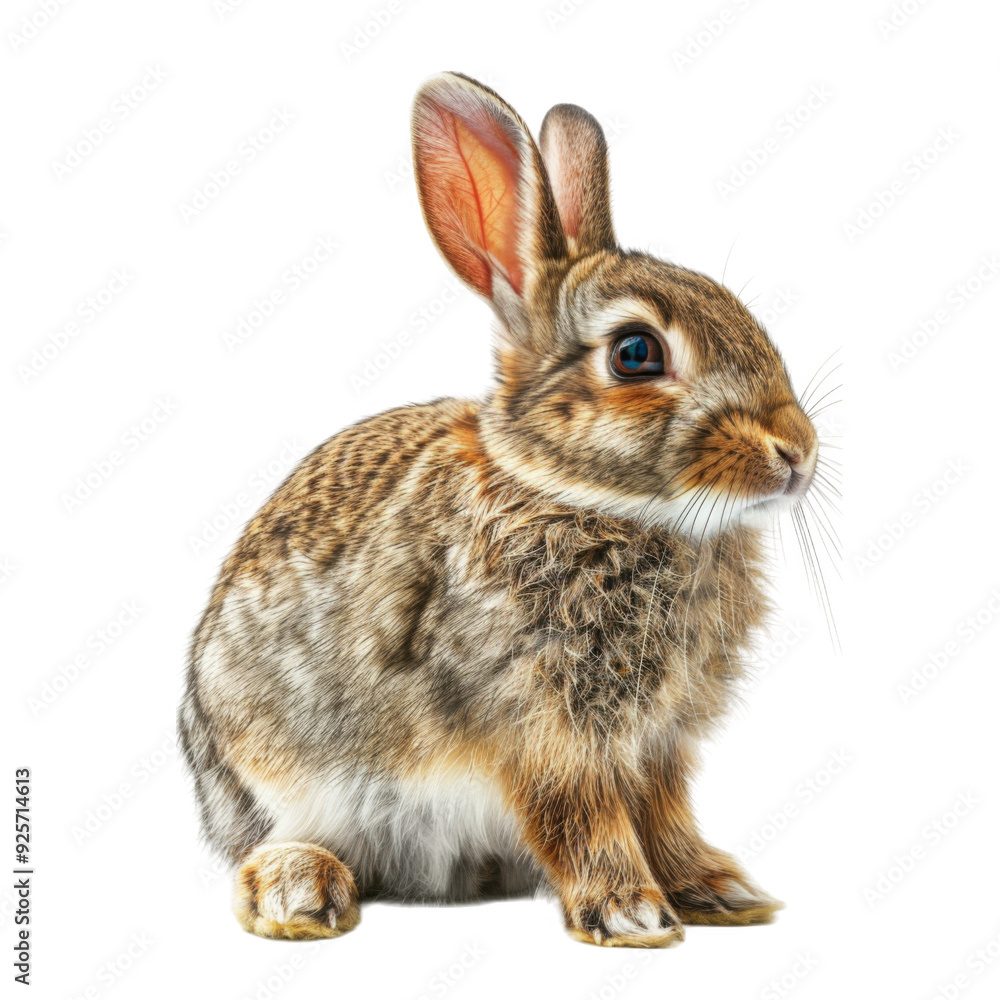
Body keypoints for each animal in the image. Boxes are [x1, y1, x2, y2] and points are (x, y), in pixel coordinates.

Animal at [179, 71, 820, 948]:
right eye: (636, 353)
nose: (797, 451)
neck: (585, 497)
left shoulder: (656, 742)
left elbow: (664, 816)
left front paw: (718, 891)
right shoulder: (537, 725)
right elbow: (579, 816)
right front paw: (630, 912)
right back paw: (299, 890)